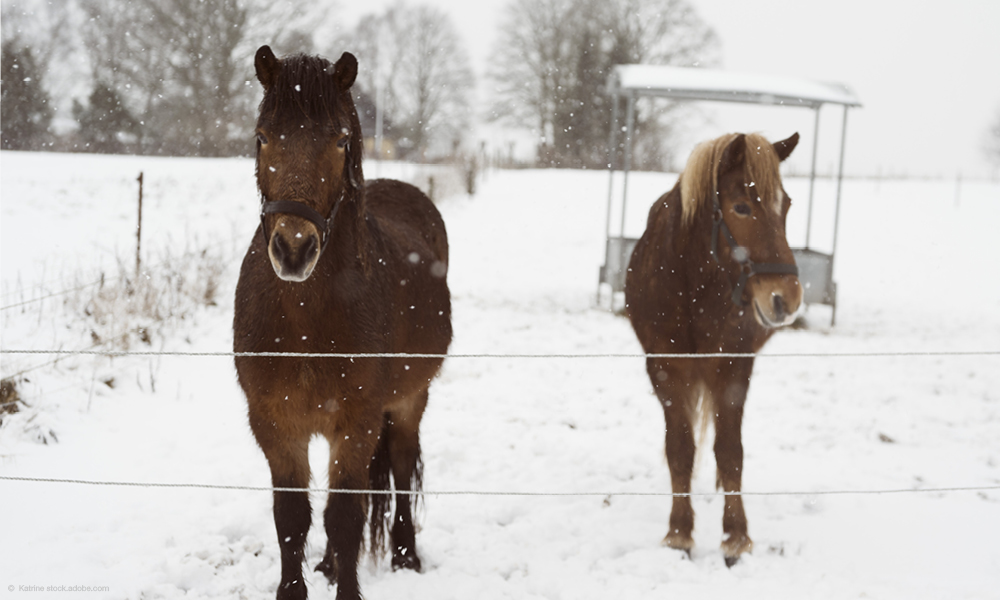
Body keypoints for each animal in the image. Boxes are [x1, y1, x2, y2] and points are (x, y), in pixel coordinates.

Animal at [232, 48, 452, 600]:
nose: (294, 248)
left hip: (409, 401)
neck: (305, 319)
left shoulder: (357, 423)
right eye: (262, 136)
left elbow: (346, 516)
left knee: (400, 467)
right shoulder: (275, 424)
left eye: (340, 139)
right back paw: (331, 564)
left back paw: (405, 554)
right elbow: (292, 517)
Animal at [624, 131, 804, 568]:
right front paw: (679, 534)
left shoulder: (734, 369)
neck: (692, 286)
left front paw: (735, 538)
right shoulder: (666, 370)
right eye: (740, 207)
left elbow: (730, 451)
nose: (787, 298)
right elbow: (680, 449)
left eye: (787, 205)